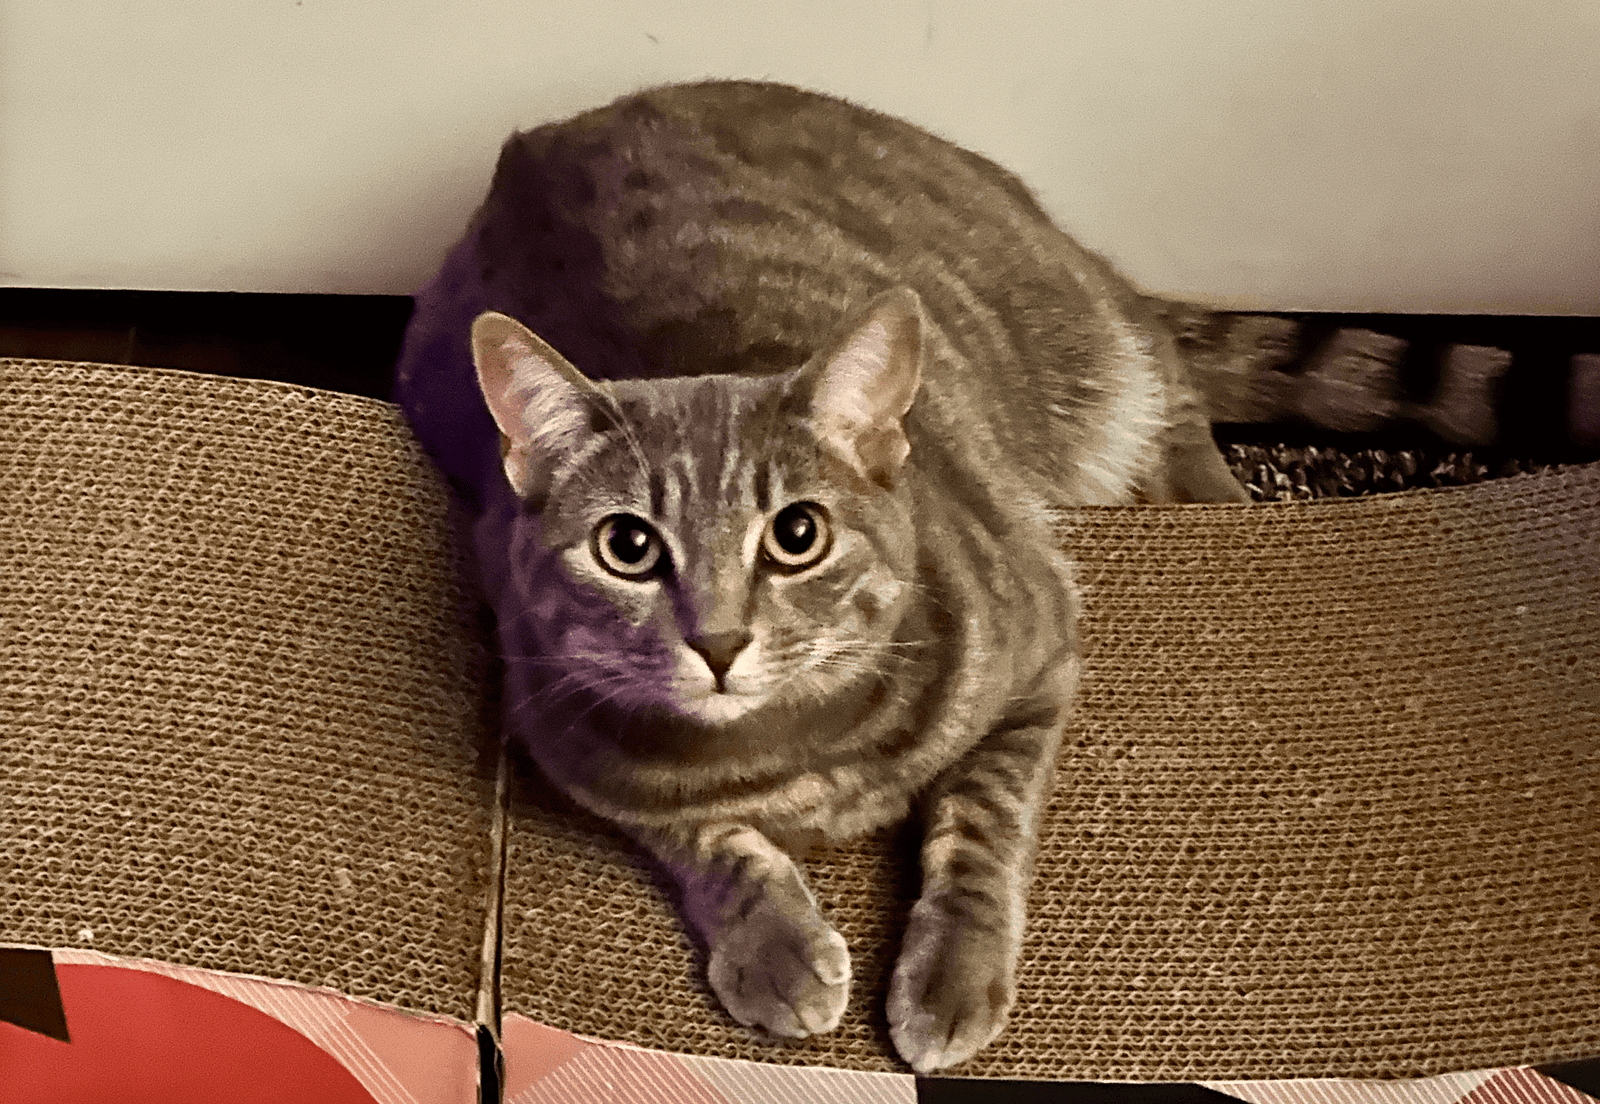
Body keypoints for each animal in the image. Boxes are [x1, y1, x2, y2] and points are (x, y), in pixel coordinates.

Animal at [393, 79, 1241, 1075]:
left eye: (797, 534)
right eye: (627, 547)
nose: (719, 641)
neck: (788, 755)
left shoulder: (1041, 654)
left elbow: (983, 820)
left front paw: (953, 974)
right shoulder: (561, 735)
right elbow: (704, 837)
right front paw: (775, 944)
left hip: (1080, 337)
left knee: (1170, 384)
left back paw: (1221, 494)